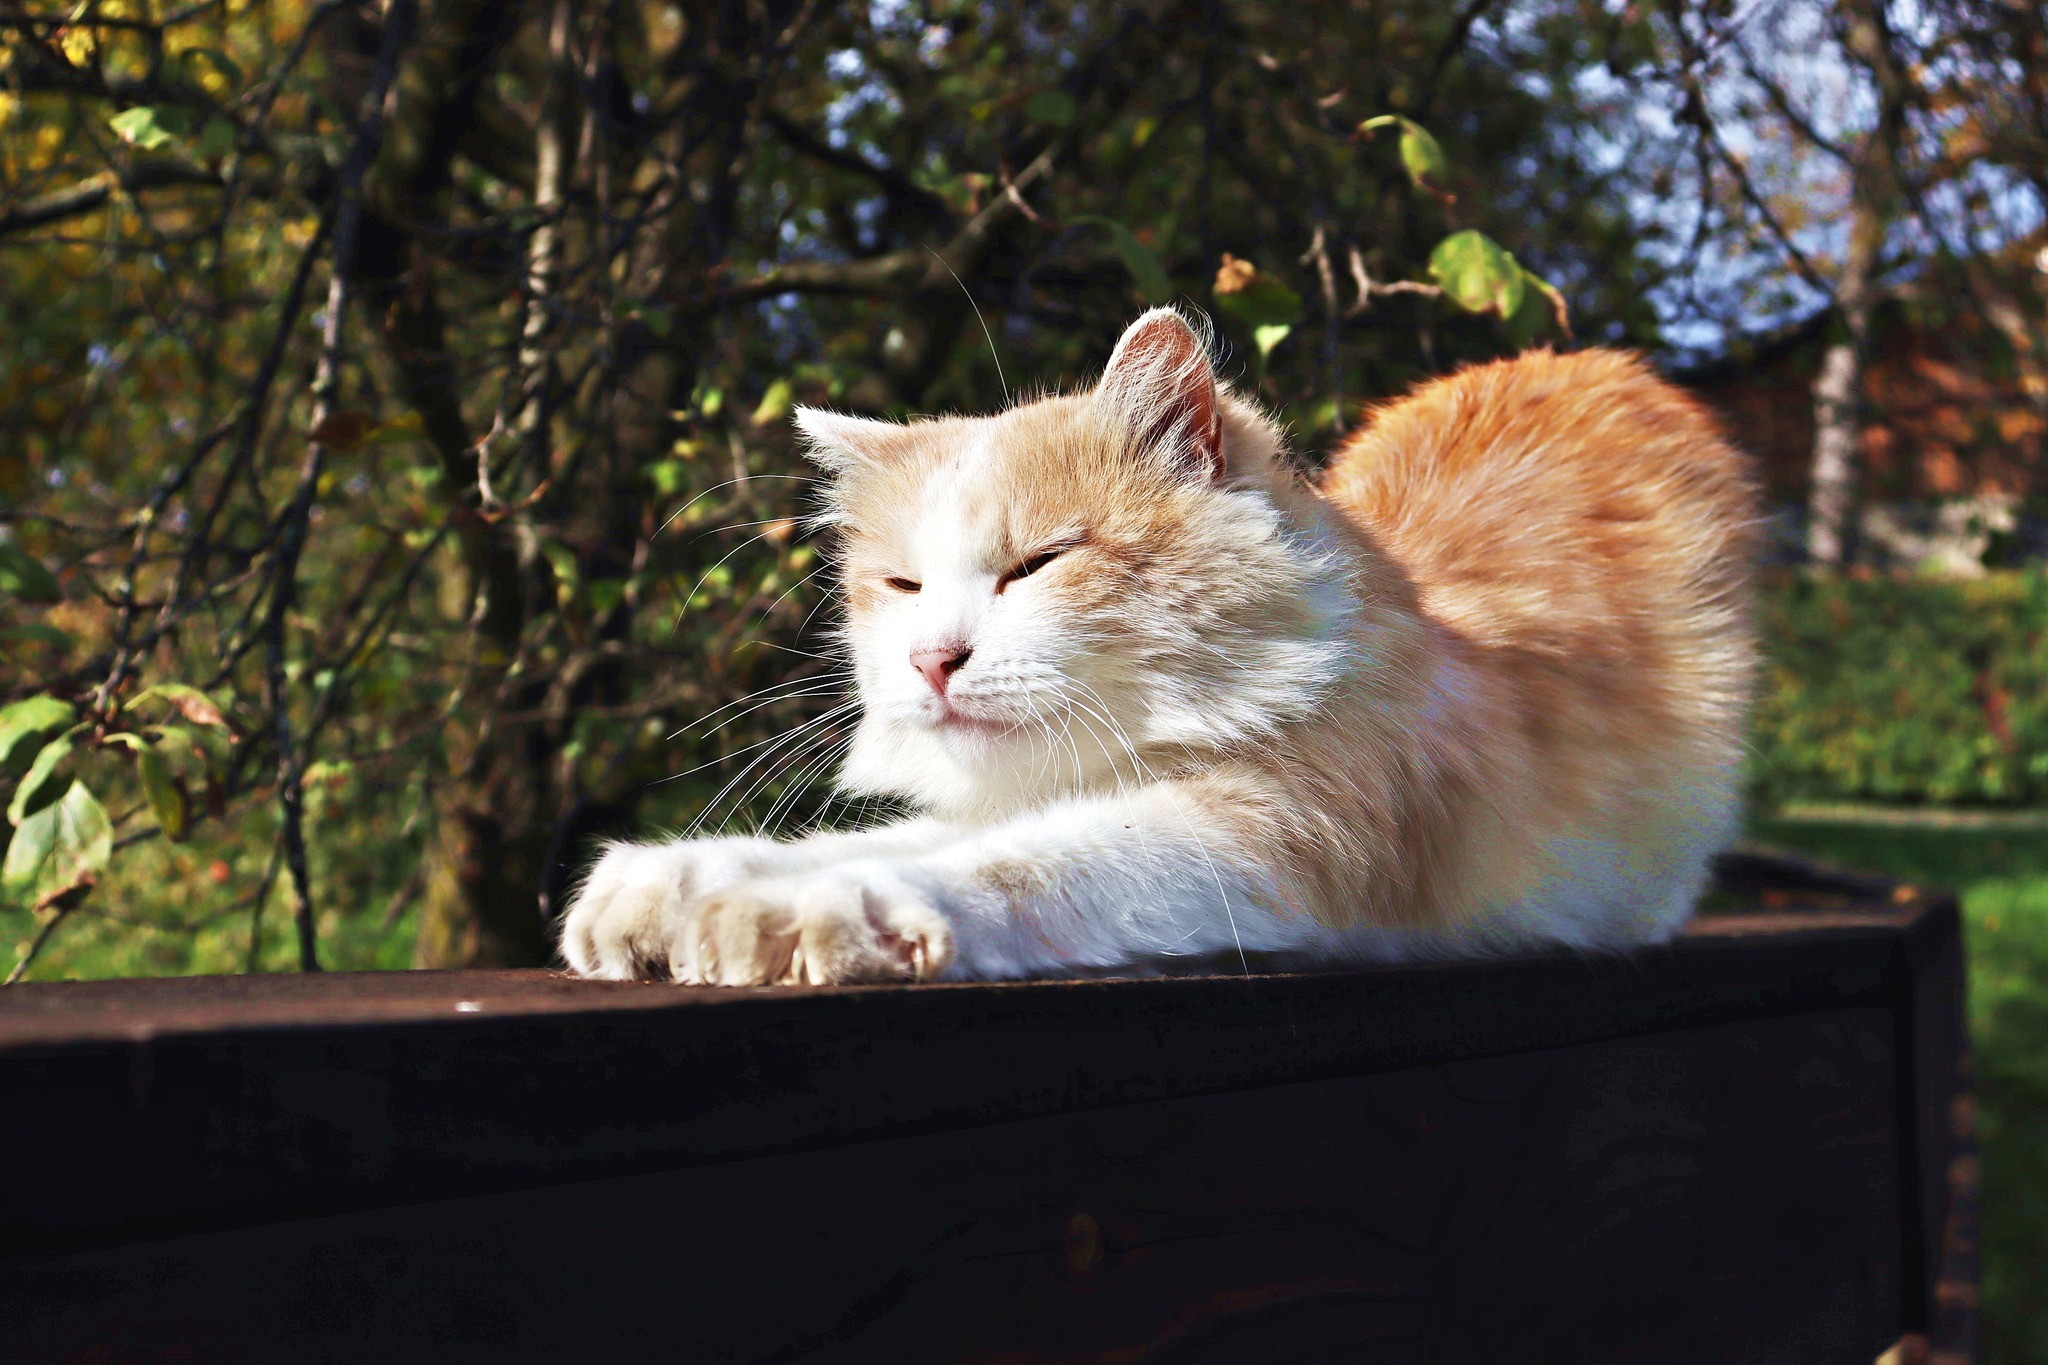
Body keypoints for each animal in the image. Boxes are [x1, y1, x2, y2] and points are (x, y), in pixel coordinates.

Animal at [565, 306, 1761, 982]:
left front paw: (816, 910)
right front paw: (675, 882)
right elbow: (884, 839)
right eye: (901, 587)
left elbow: (1023, 861)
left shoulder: (1265, 834)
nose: (931, 660)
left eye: (1036, 564)